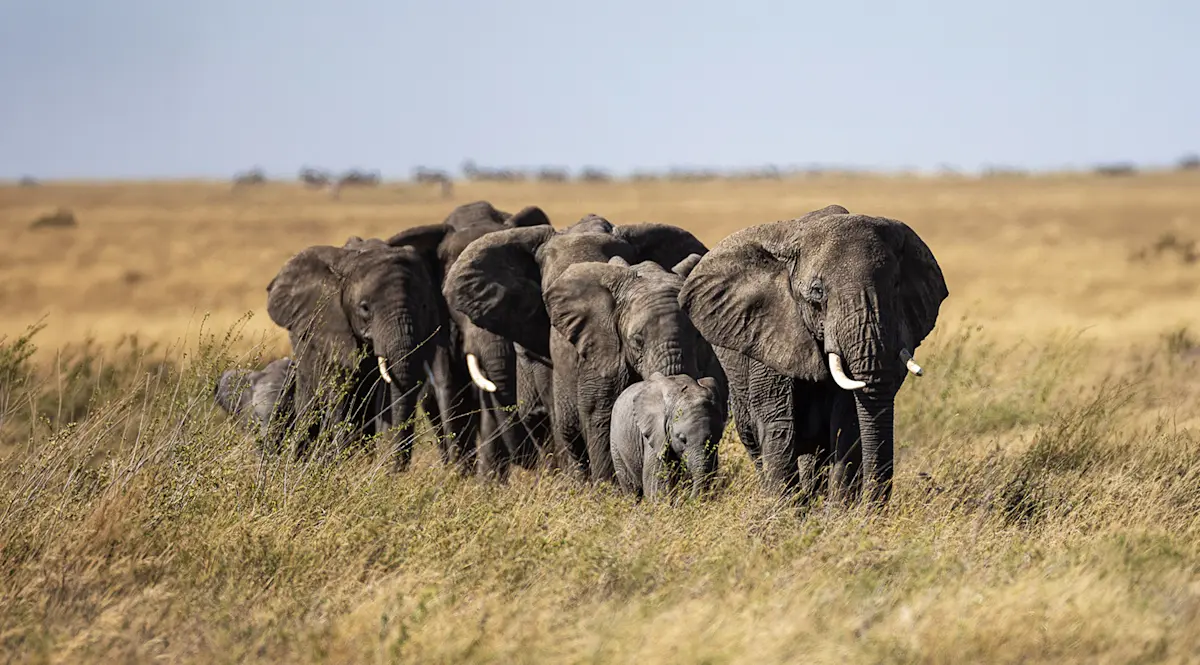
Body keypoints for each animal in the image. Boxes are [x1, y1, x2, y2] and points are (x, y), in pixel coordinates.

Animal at [384, 200, 553, 479]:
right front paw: (462, 478)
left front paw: (489, 481)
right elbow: (451, 391)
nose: (530, 461)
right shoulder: (441, 324)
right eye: (455, 303)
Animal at [610, 372, 726, 501]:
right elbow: (656, 487)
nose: (687, 499)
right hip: (615, 441)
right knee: (631, 487)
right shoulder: (656, 433)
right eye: (682, 439)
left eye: (719, 437)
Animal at [678, 204, 948, 505]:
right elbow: (778, 422)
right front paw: (786, 510)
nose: (872, 507)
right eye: (817, 293)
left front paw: (839, 512)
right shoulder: (769, 331)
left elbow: (848, 421)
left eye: (896, 287)